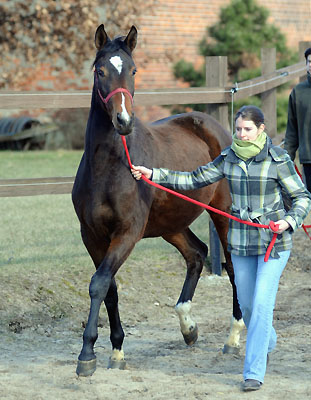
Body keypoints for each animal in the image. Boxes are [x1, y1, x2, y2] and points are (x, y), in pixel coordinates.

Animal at [72, 24, 245, 376]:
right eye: (100, 71)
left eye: (133, 70)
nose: (124, 121)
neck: (109, 168)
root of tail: (217, 129)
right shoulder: (92, 236)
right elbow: (109, 288)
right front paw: (116, 351)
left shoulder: (127, 233)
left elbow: (99, 283)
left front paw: (87, 355)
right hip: (171, 224)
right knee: (196, 254)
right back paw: (188, 327)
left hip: (222, 213)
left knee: (232, 265)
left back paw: (233, 337)